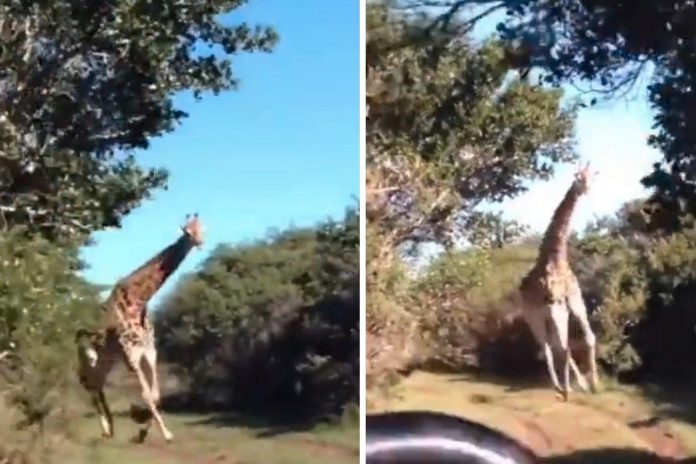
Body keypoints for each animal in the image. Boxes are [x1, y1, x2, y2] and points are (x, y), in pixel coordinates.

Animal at [76, 213, 204, 443]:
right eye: (187, 231)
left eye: (202, 228)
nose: (200, 242)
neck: (138, 302)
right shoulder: (131, 356)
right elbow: (146, 394)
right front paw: (165, 433)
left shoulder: (149, 351)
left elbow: (155, 394)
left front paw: (142, 428)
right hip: (89, 364)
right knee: (89, 388)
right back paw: (106, 428)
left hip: (104, 365)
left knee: (97, 388)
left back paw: (110, 429)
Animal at [518, 163, 600, 401]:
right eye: (579, 178)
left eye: (593, 177)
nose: (587, 190)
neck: (556, 258)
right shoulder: (554, 304)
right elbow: (563, 348)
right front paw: (567, 390)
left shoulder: (573, 299)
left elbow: (589, 337)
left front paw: (595, 384)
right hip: (533, 316)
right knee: (547, 347)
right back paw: (559, 387)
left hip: (551, 314)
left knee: (557, 345)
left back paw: (577, 385)